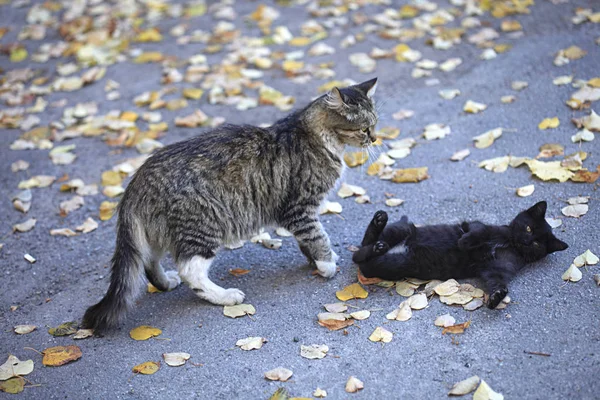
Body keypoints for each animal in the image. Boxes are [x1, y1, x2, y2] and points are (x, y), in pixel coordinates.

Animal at [82, 78, 378, 332]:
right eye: (365, 129)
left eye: (375, 124)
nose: (375, 138)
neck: (313, 135)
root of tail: (137, 181)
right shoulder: (300, 209)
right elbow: (318, 236)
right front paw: (327, 265)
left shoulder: (299, 214)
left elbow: (308, 240)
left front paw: (314, 260)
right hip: (204, 225)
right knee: (190, 271)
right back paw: (224, 296)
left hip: (157, 232)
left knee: (148, 261)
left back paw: (166, 282)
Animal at [352, 202, 568, 308]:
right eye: (529, 228)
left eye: (537, 244)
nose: (526, 241)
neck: (510, 244)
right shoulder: (476, 225)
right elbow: (480, 231)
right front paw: (466, 243)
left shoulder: (497, 269)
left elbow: (496, 280)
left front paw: (497, 297)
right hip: (402, 230)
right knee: (361, 248)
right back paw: (380, 222)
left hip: (392, 263)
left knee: (362, 257)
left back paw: (378, 247)